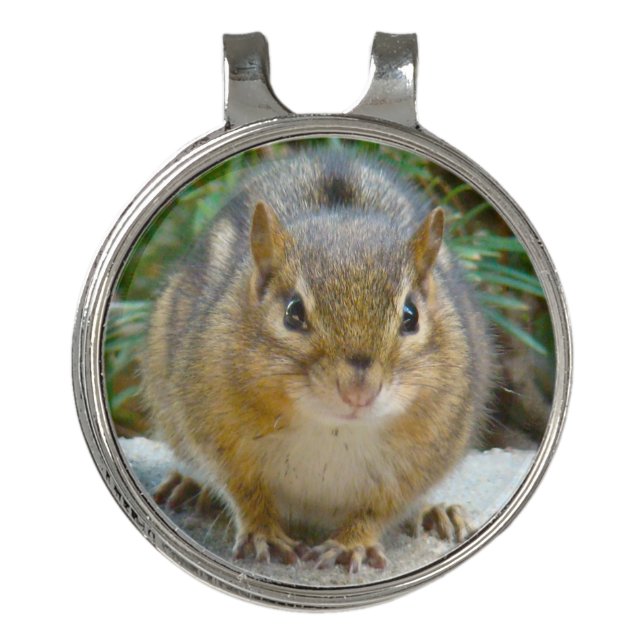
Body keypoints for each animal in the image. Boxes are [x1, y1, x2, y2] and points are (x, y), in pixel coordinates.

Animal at [141, 146, 496, 572]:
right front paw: (264, 532)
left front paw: (352, 543)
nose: (358, 391)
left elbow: (381, 507)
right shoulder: (215, 428)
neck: (332, 428)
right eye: (293, 312)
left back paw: (436, 512)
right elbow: (244, 490)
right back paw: (188, 485)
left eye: (411, 315)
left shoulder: (426, 453)